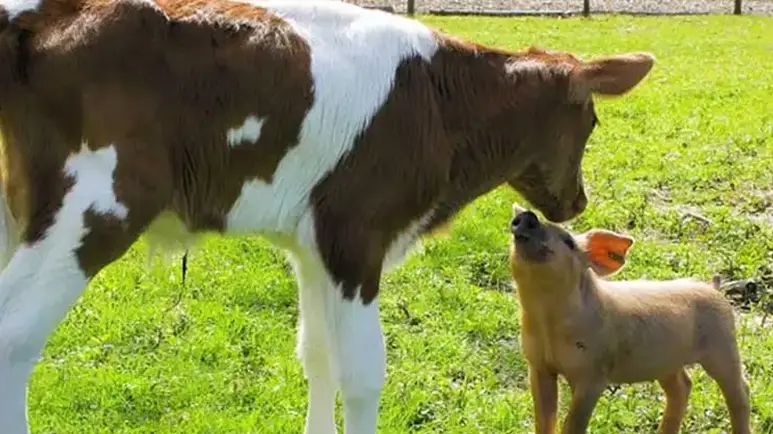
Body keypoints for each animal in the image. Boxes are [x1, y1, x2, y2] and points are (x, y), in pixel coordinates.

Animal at [0, 1, 654, 433]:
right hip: (93, 206)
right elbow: (363, 372)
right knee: (15, 336)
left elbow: (316, 355)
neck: (441, 104)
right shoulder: (355, 236)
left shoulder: (312, 245)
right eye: (592, 121)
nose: (578, 202)